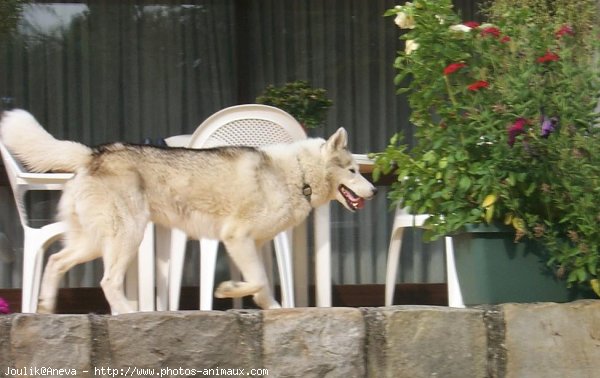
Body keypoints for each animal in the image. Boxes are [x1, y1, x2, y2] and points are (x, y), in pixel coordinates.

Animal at [0, 109, 376, 314]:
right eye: (353, 171)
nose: (373, 192)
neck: (298, 174)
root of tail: (93, 152)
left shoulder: (253, 245)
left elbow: (263, 285)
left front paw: (272, 308)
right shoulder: (236, 238)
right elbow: (256, 280)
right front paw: (227, 290)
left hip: (93, 242)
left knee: (55, 262)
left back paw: (45, 307)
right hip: (127, 236)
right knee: (107, 281)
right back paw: (127, 313)